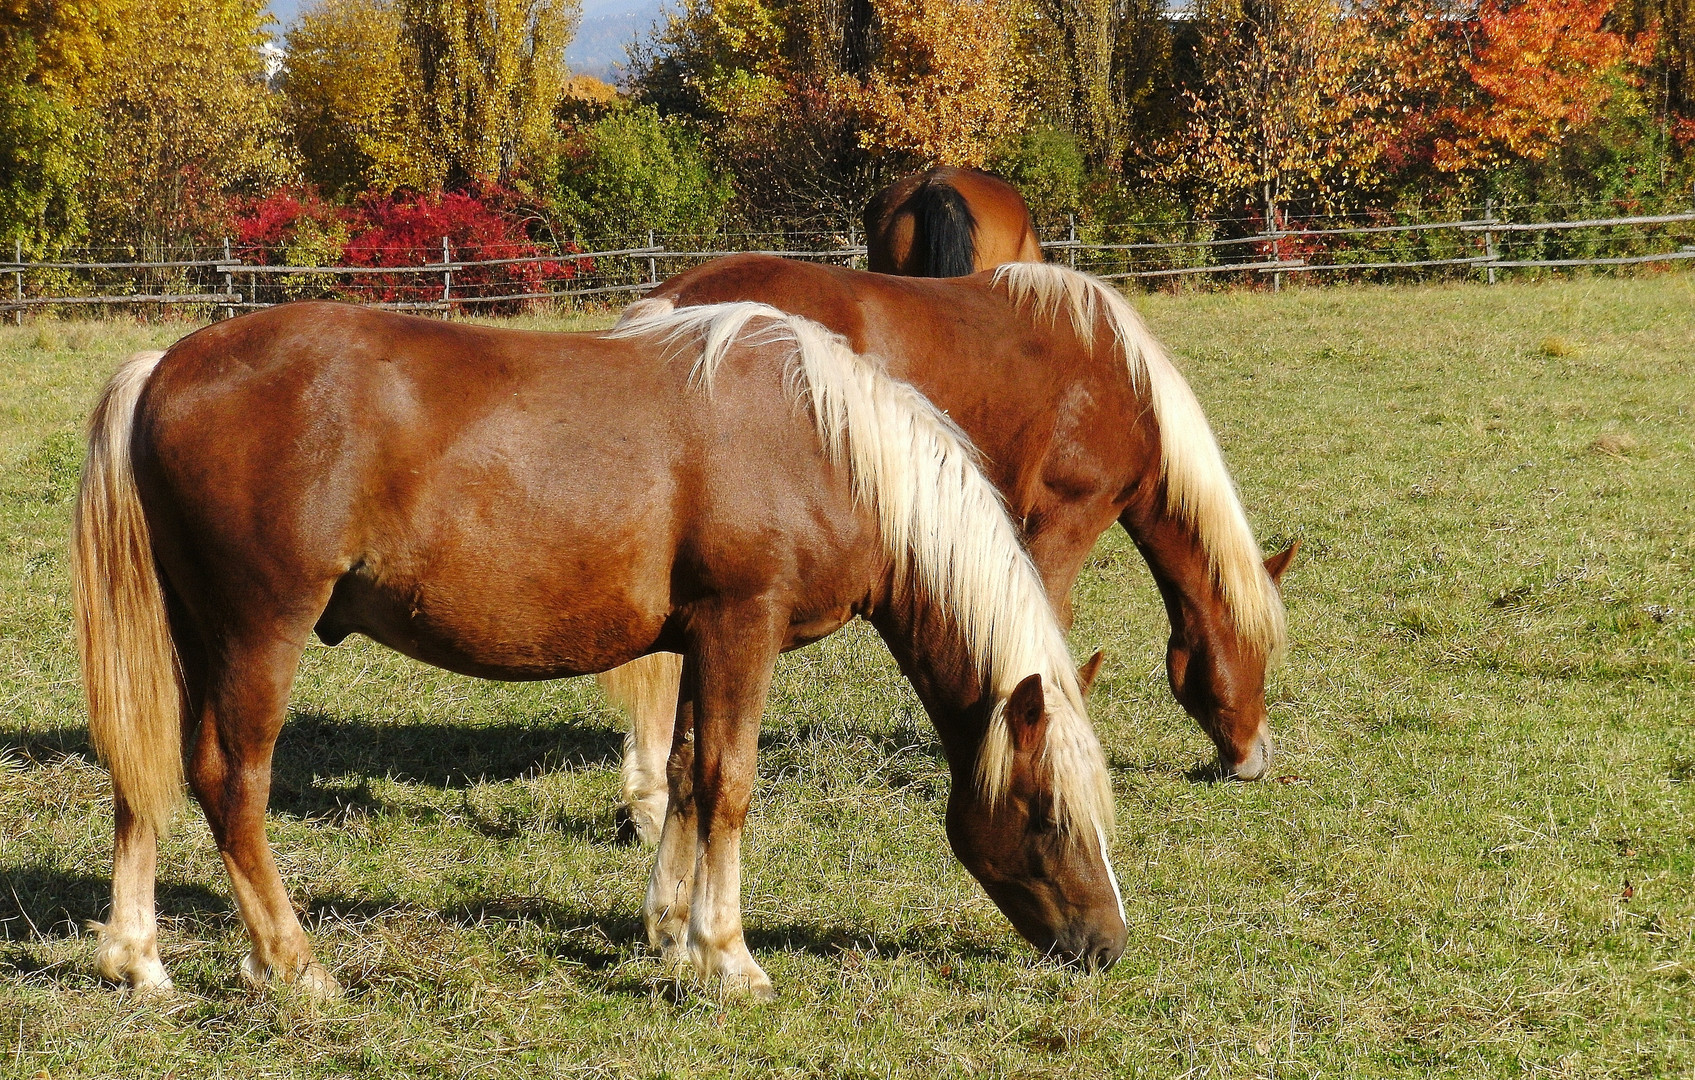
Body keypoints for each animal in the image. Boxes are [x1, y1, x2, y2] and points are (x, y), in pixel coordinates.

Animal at [72, 298, 1125, 996]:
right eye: (1045, 813)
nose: (1104, 946)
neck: (825, 446)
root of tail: (165, 366)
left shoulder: (702, 638)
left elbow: (691, 772)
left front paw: (669, 930)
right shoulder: (744, 625)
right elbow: (731, 783)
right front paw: (728, 955)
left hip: (191, 634)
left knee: (147, 770)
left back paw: (137, 957)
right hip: (260, 633)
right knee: (230, 780)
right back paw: (293, 962)